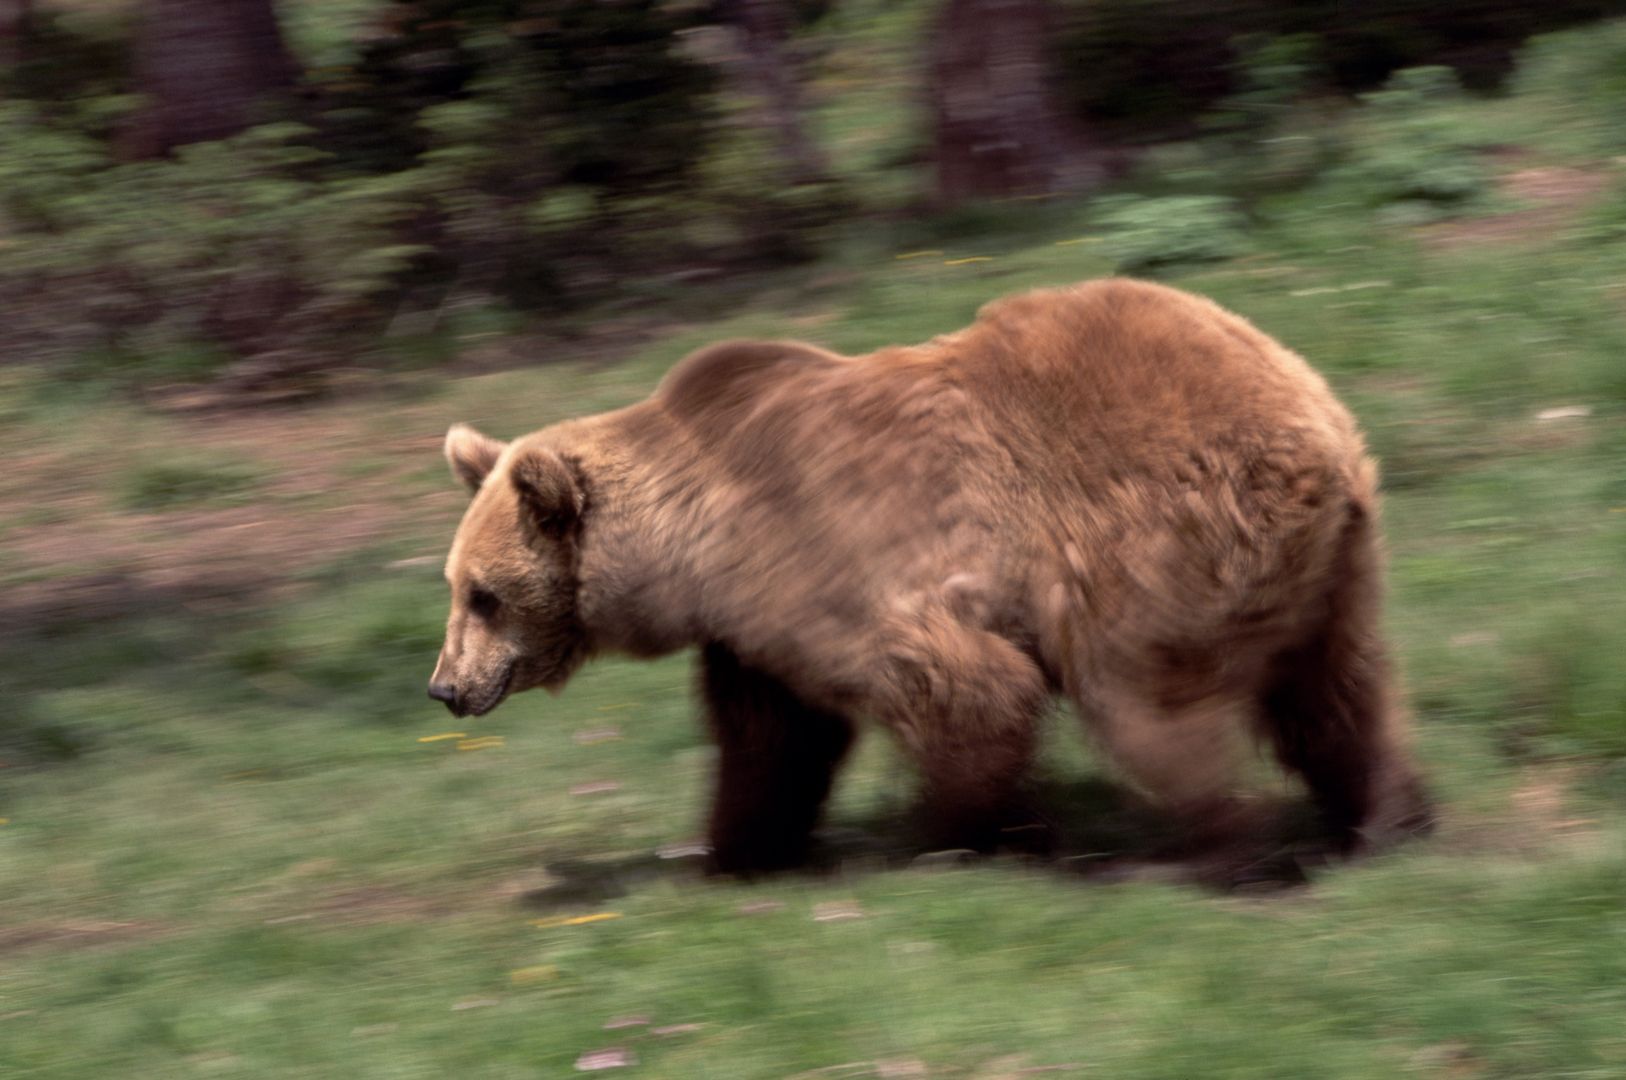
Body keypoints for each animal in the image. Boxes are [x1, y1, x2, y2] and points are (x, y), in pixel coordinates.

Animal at [426, 278, 1430, 878]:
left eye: (484, 594)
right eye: (454, 586)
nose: (445, 686)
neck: (691, 546)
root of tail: (1319, 427)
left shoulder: (825, 561)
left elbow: (967, 693)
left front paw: (964, 835)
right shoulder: (752, 630)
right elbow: (768, 741)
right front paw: (738, 852)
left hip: (1164, 541)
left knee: (1151, 698)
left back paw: (1224, 847)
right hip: (1328, 568)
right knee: (1338, 694)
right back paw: (1388, 817)